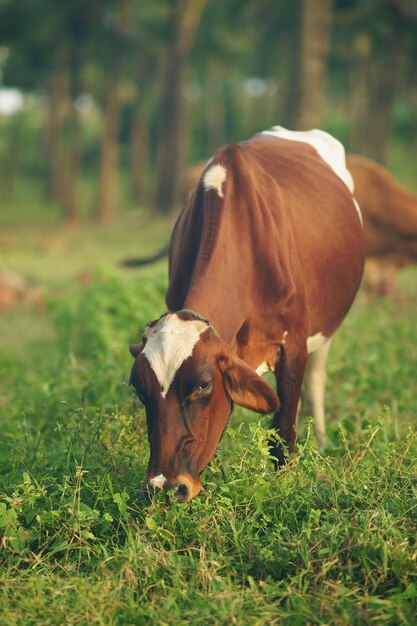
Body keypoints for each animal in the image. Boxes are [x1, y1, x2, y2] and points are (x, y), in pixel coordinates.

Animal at [130, 128, 364, 502]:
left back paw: (323, 441)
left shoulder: (293, 345)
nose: (164, 487)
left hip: (326, 329)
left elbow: (282, 431)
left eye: (203, 384)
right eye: (139, 388)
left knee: (317, 378)